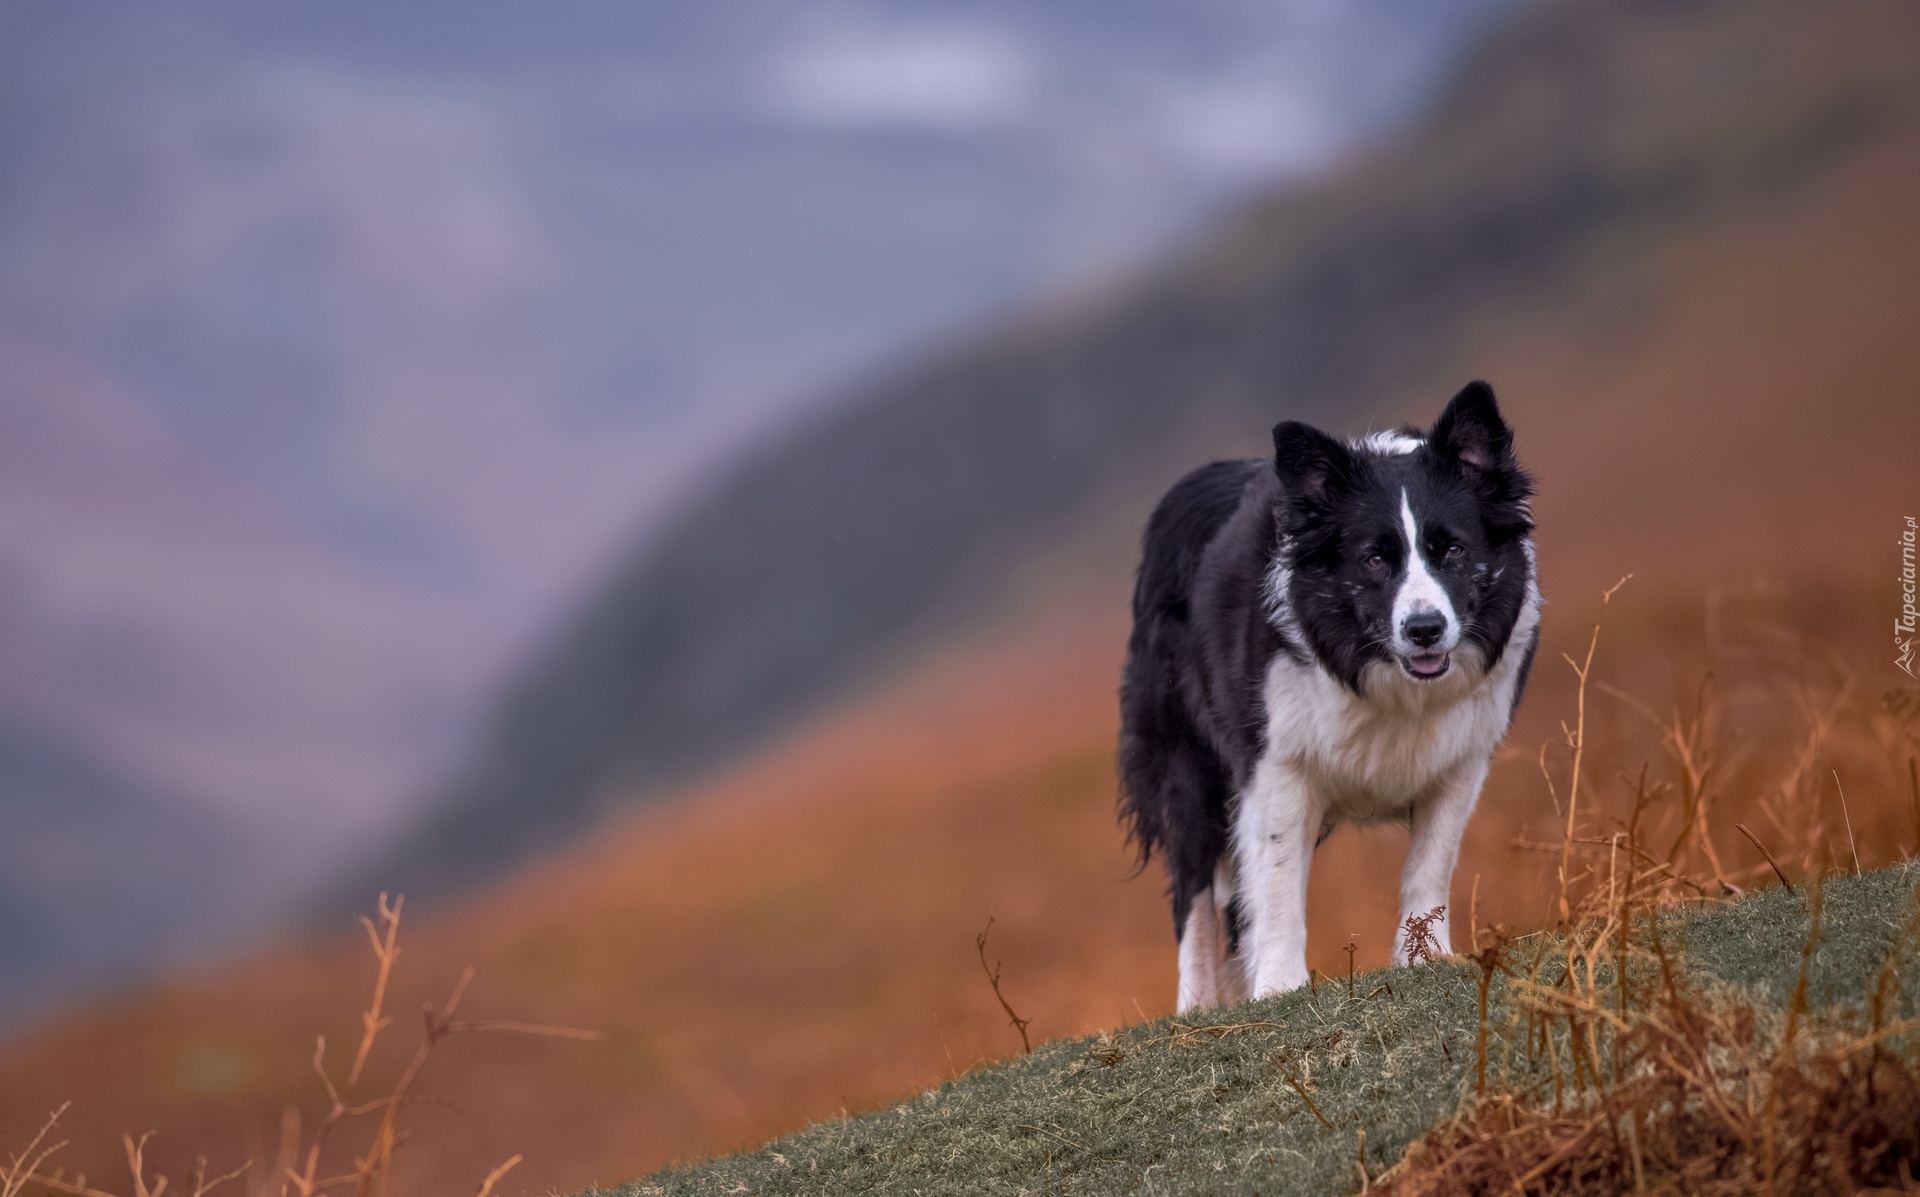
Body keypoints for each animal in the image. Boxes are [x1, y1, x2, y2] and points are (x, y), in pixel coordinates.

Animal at [1121, 384, 1536, 1014]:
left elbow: (1431, 862)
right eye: (1374, 559)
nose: (1425, 630)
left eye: (1452, 550)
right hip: (1186, 764)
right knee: (1193, 893)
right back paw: (1199, 1008)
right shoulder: (1276, 763)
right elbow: (1276, 877)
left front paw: (1425, 959)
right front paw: (1278, 987)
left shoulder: (1463, 757)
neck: (1387, 677)